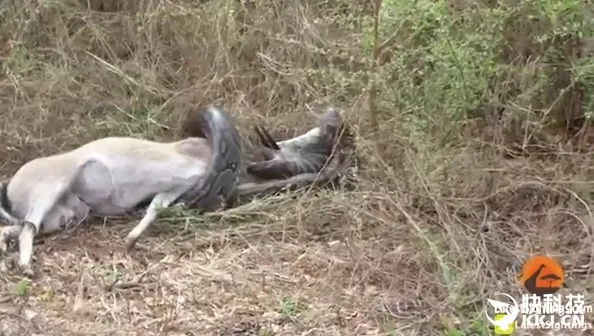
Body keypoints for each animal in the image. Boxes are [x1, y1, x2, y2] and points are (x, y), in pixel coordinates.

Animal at [0, 106, 240, 276]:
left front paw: (132, 238)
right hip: (49, 189)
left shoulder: (176, 187)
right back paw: (25, 265)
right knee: (28, 228)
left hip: (65, 214)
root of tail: (9, 188)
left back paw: (5, 242)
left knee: (24, 227)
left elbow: (156, 207)